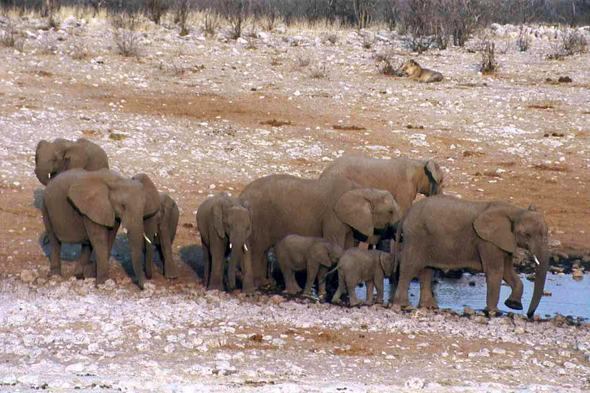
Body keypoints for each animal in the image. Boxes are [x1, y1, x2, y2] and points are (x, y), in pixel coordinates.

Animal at [239, 175, 402, 288]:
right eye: (390, 211)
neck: (362, 190)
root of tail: (242, 194)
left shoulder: (347, 220)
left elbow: (348, 245)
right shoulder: (332, 216)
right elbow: (336, 244)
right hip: (258, 217)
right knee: (258, 250)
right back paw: (262, 284)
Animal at [396, 194, 552, 316]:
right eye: (527, 234)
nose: (529, 315)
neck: (517, 211)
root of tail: (407, 212)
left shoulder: (505, 241)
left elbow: (508, 271)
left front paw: (513, 305)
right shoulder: (487, 241)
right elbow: (495, 271)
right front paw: (494, 312)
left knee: (427, 271)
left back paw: (429, 306)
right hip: (416, 236)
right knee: (409, 267)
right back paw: (403, 305)